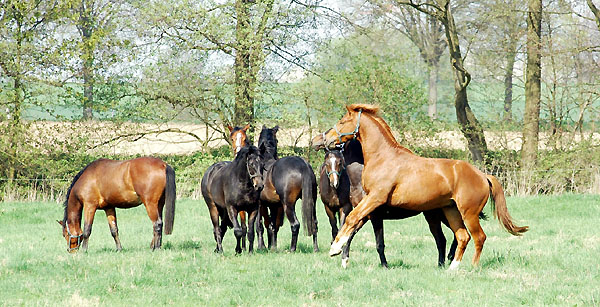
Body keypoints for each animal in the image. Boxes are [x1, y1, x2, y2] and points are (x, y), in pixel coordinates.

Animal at [255, 126, 318, 254]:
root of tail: (303, 165)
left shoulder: (260, 203)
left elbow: (260, 226)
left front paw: (261, 247)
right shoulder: (274, 205)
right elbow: (273, 226)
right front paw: (273, 247)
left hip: (288, 205)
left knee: (295, 224)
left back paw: (292, 249)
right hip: (312, 202)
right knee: (314, 223)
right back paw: (315, 248)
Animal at [322, 104, 528, 270]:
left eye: (342, 121)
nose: (326, 140)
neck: (383, 158)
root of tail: (482, 176)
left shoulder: (375, 199)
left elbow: (352, 219)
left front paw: (334, 249)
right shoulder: (372, 207)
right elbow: (353, 223)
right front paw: (339, 252)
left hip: (468, 213)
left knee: (478, 237)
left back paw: (472, 267)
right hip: (451, 211)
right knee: (462, 236)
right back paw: (452, 268)